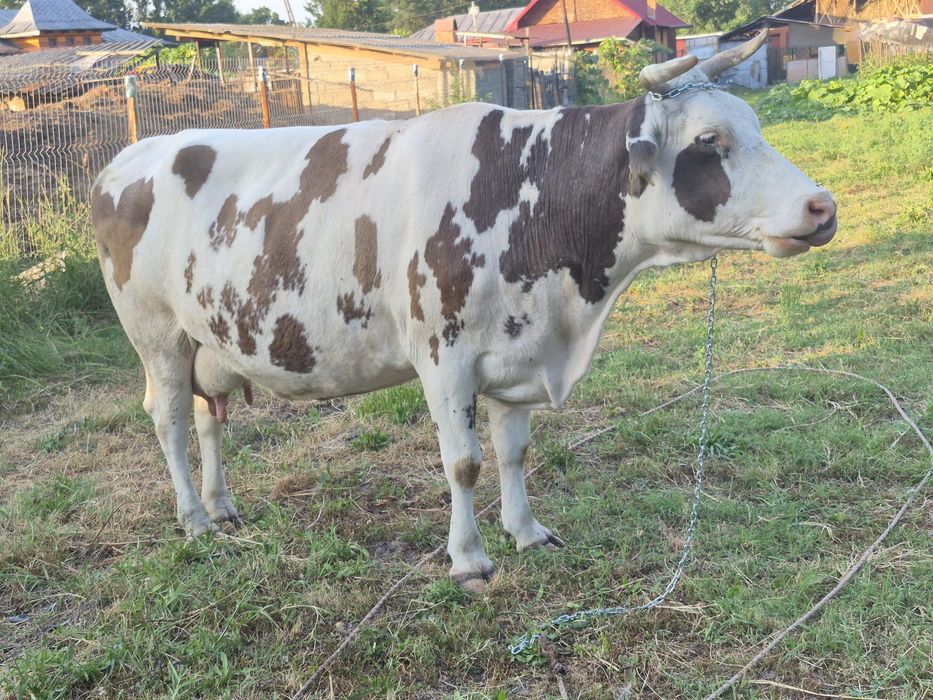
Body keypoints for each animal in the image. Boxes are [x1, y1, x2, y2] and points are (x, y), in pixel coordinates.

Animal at [91, 30, 836, 592]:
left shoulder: (518, 349)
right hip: (156, 334)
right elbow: (464, 463)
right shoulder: (443, 358)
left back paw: (221, 507)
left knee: (207, 418)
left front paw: (526, 531)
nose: (821, 205)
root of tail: (131, 155)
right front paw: (470, 558)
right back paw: (192, 518)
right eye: (710, 139)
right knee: (168, 419)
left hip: (211, 340)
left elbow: (514, 451)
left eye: (754, 126)